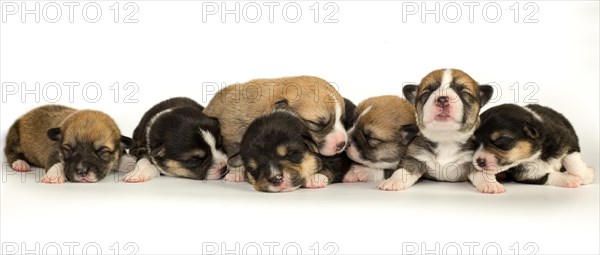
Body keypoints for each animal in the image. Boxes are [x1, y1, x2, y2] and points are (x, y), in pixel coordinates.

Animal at [4, 105, 132, 183]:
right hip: (14, 136)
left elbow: (125, 159)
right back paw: (20, 163)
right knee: (11, 153)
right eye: (68, 149)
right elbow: (56, 162)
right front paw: (54, 175)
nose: (82, 171)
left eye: (102, 151)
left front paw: (134, 167)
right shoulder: (54, 152)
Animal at [205, 74, 346, 182]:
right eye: (317, 123)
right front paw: (236, 173)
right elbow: (235, 156)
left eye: (342, 118)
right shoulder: (231, 135)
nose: (342, 144)